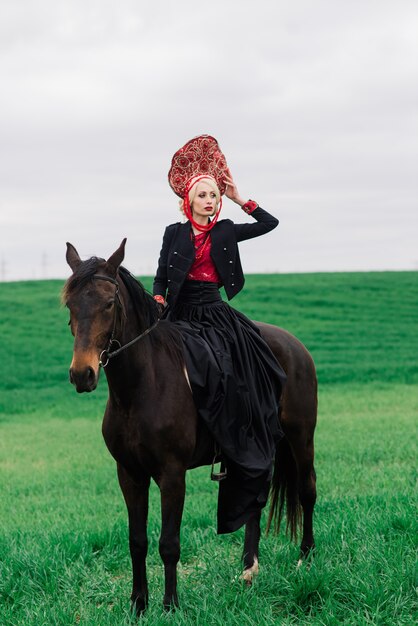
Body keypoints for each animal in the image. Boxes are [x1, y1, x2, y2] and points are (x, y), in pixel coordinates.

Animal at [62, 239, 316, 608]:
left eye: (109, 303)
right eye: (70, 304)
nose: (82, 374)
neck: (142, 387)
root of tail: (295, 345)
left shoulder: (172, 474)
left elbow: (169, 543)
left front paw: (170, 606)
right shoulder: (130, 474)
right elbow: (137, 541)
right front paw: (138, 605)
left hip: (301, 436)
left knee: (307, 490)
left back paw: (305, 559)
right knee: (255, 498)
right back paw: (249, 568)